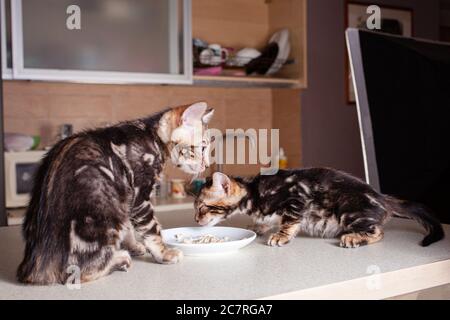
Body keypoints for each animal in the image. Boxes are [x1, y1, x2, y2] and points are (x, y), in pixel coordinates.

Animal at [17, 101, 214, 284]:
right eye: (203, 147)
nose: (206, 165)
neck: (152, 137)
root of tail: (37, 265)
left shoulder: (127, 198)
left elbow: (128, 227)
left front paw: (133, 245)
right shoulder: (140, 194)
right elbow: (152, 229)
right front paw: (163, 253)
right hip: (104, 216)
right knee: (81, 272)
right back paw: (119, 260)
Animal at [195, 170, 444, 248]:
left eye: (203, 207)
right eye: (196, 208)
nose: (196, 220)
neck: (255, 193)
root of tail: (380, 197)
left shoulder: (296, 197)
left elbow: (289, 221)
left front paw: (281, 236)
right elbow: (266, 220)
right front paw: (259, 226)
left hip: (349, 210)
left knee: (378, 232)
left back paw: (354, 237)